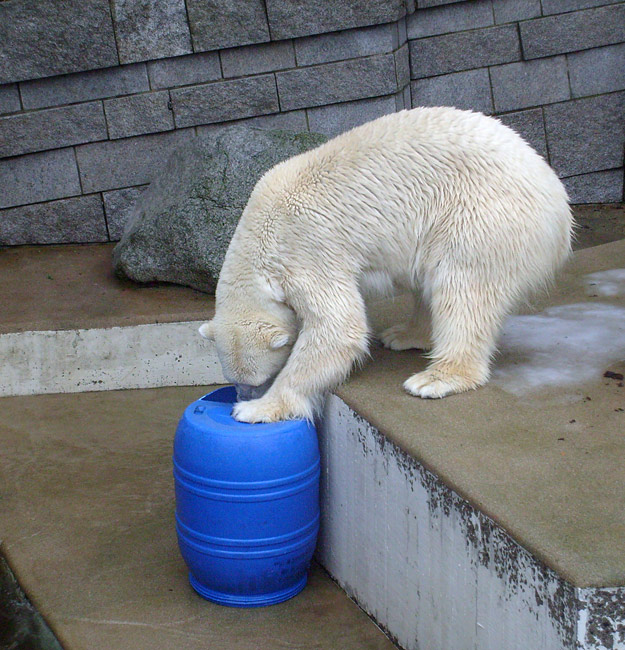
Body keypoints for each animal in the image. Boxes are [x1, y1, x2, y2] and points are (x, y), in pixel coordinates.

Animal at [197, 107, 572, 420]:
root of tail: (559, 206)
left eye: (256, 381)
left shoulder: (307, 251)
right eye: (233, 378)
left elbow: (339, 328)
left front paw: (258, 409)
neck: (260, 231)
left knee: (462, 289)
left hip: (480, 215)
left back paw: (435, 378)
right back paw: (404, 335)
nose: (240, 396)